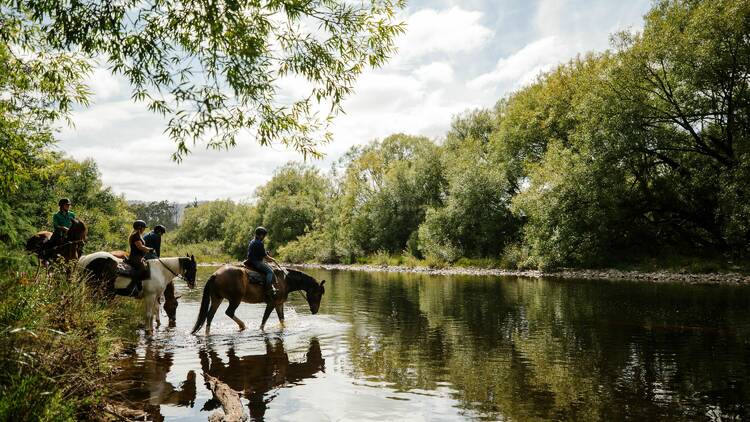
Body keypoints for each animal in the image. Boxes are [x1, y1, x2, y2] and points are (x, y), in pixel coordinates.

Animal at [191, 266, 326, 334]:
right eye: (319, 293)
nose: (315, 311)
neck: (285, 281)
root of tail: (215, 275)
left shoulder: (279, 304)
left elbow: (282, 321)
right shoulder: (271, 303)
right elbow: (264, 320)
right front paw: (260, 330)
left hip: (217, 299)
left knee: (209, 316)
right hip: (235, 299)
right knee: (229, 312)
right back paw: (242, 326)